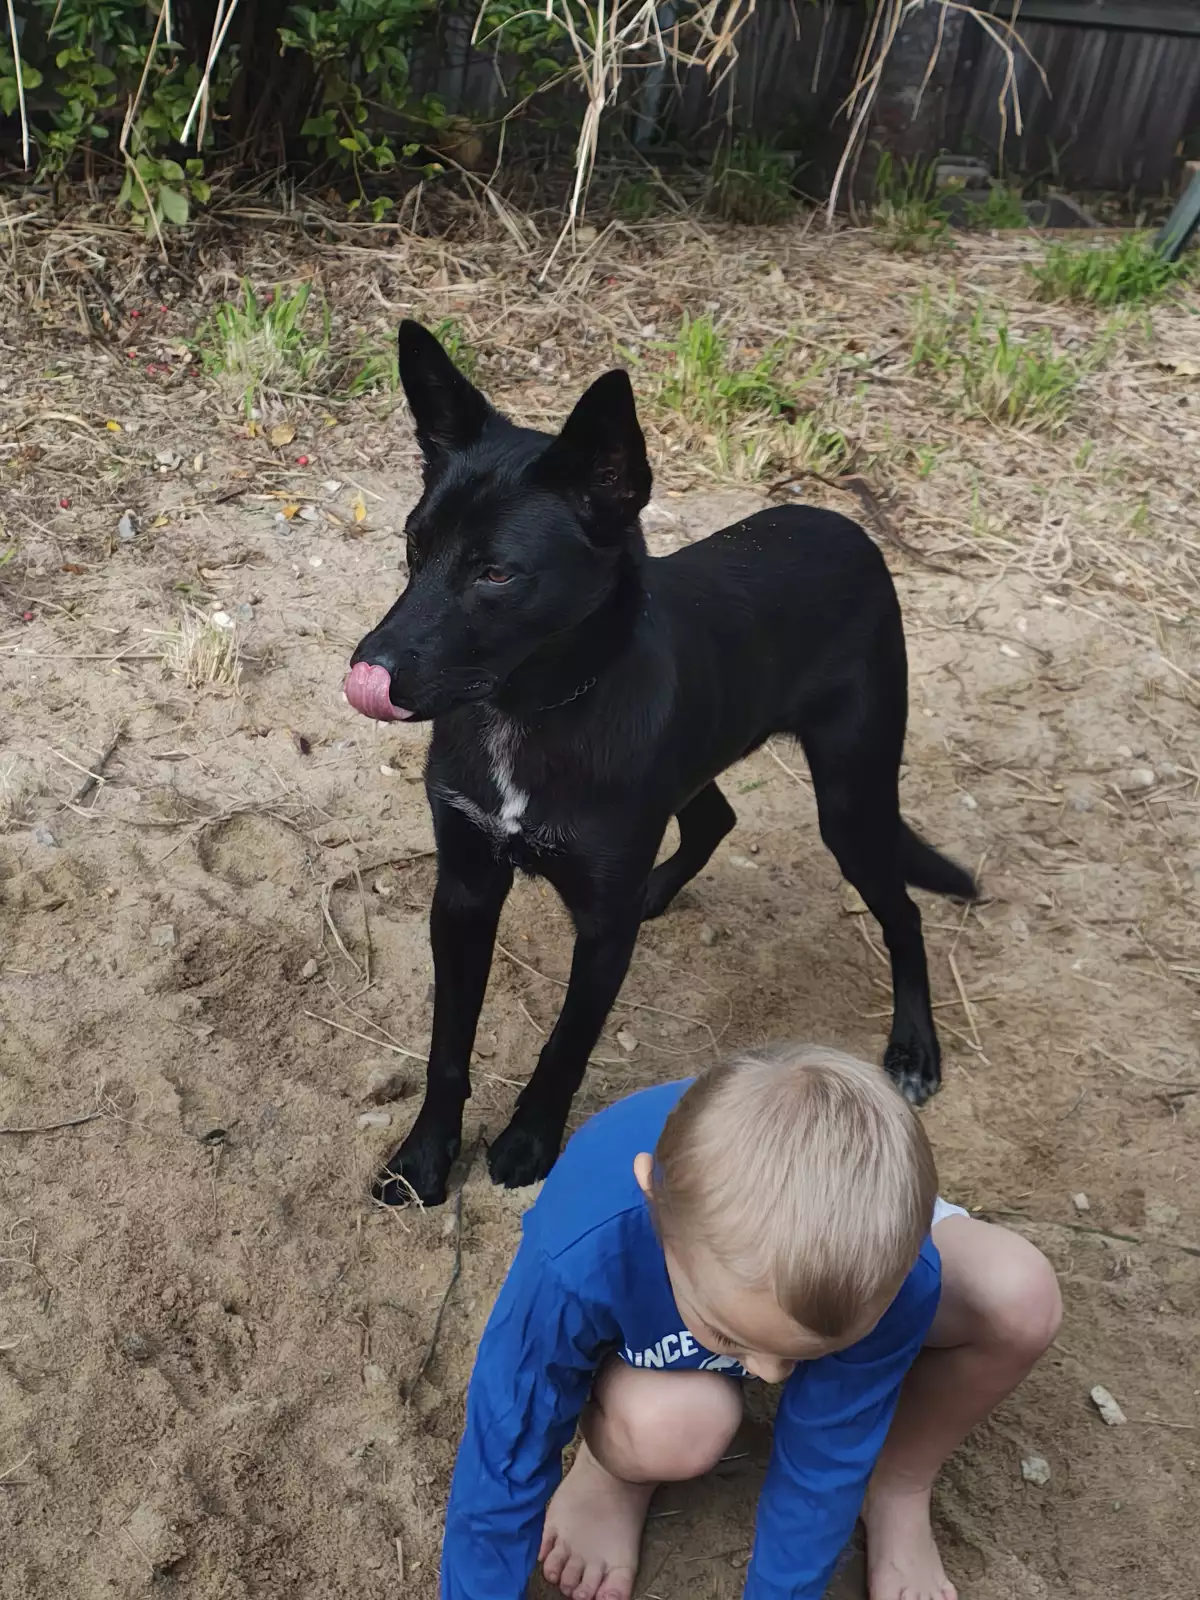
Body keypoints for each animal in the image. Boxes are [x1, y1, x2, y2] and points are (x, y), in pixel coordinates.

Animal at [345, 321, 977, 1206]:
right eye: (413, 545)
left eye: (496, 572)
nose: (368, 670)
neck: (530, 711)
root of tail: (850, 528)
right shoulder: (464, 892)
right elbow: (446, 1048)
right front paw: (425, 1158)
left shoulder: (598, 928)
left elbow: (566, 1045)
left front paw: (529, 1142)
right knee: (716, 814)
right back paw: (662, 889)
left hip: (853, 799)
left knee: (905, 913)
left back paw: (916, 1048)